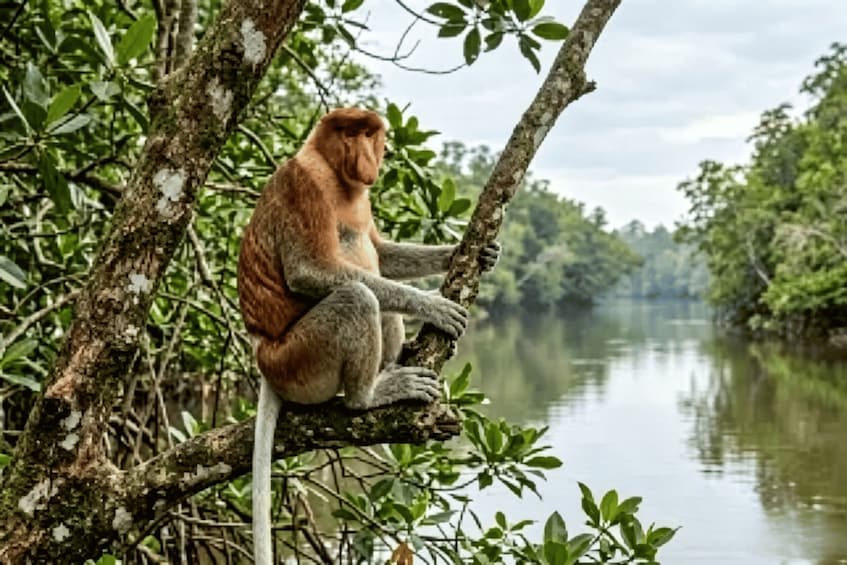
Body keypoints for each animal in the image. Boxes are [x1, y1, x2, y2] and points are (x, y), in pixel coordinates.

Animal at [237, 107, 500, 564]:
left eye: (369, 134)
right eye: (351, 133)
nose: (369, 156)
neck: (334, 173)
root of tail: (264, 355)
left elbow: (382, 252)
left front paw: (469, 252)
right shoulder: (304, 184)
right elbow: (309, 271)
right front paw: (433, 304)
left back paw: (396, 364)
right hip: (299, 360)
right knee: (359, 296)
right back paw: (371, 394)